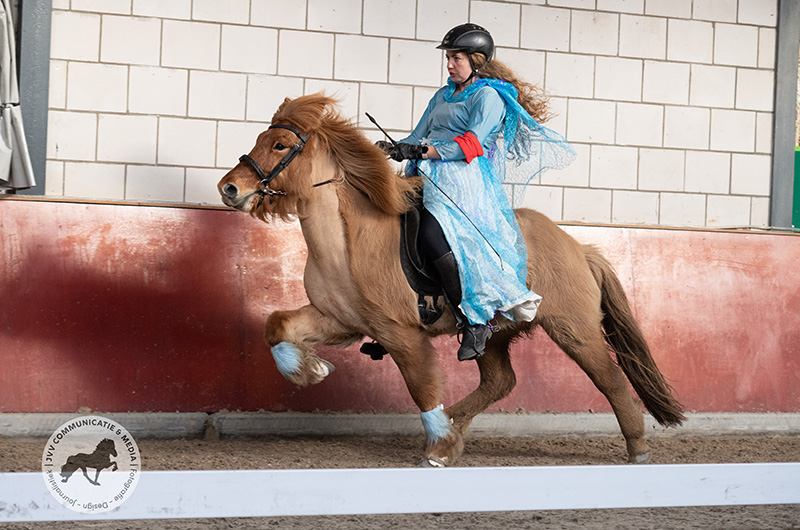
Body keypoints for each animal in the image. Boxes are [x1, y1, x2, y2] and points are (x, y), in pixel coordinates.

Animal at [219, 93, 688, 464]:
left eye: (280, 144)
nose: (229, 189)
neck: (349, 242)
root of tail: (578, 247)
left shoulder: (400, 332)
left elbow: (422, 386)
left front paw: (439, 448)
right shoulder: (340, 321)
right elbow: (277, 325)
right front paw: (308, 369)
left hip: (574, 328)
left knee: (610, 378)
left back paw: (637, 448)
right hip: (491, 332)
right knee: (500, 381)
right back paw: (456, 427)